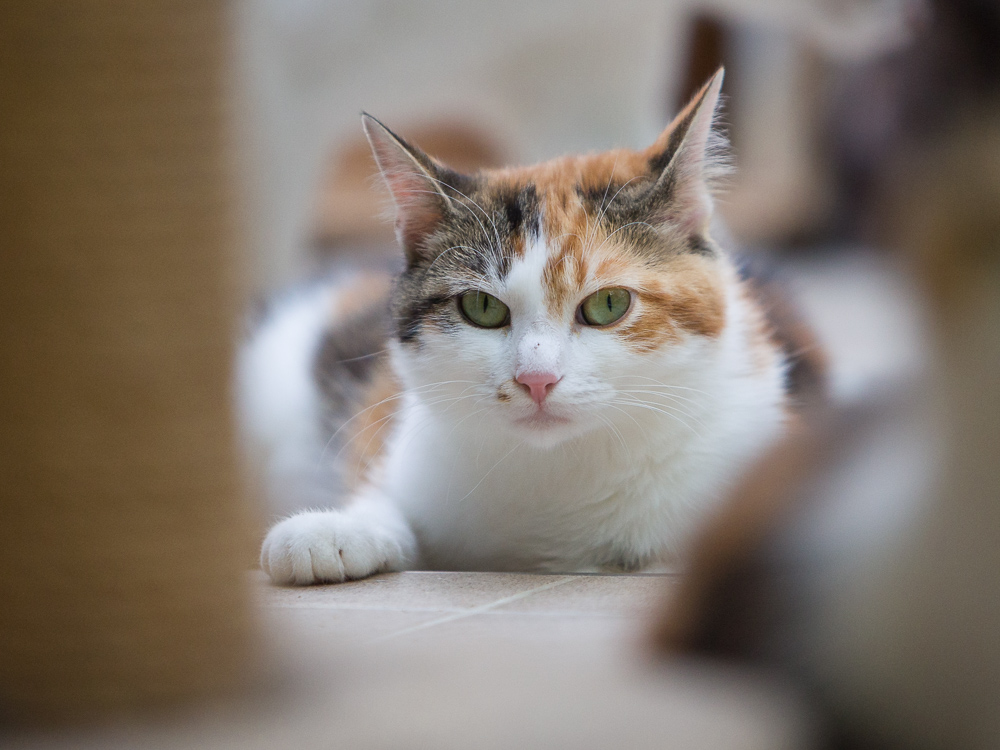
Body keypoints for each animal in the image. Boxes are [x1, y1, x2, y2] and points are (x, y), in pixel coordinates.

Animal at [246, 70, 816, 584]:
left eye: (609, 304)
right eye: (481, 307)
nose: (536, 380)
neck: (562, 473)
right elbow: (388, 503)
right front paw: (333, 532)